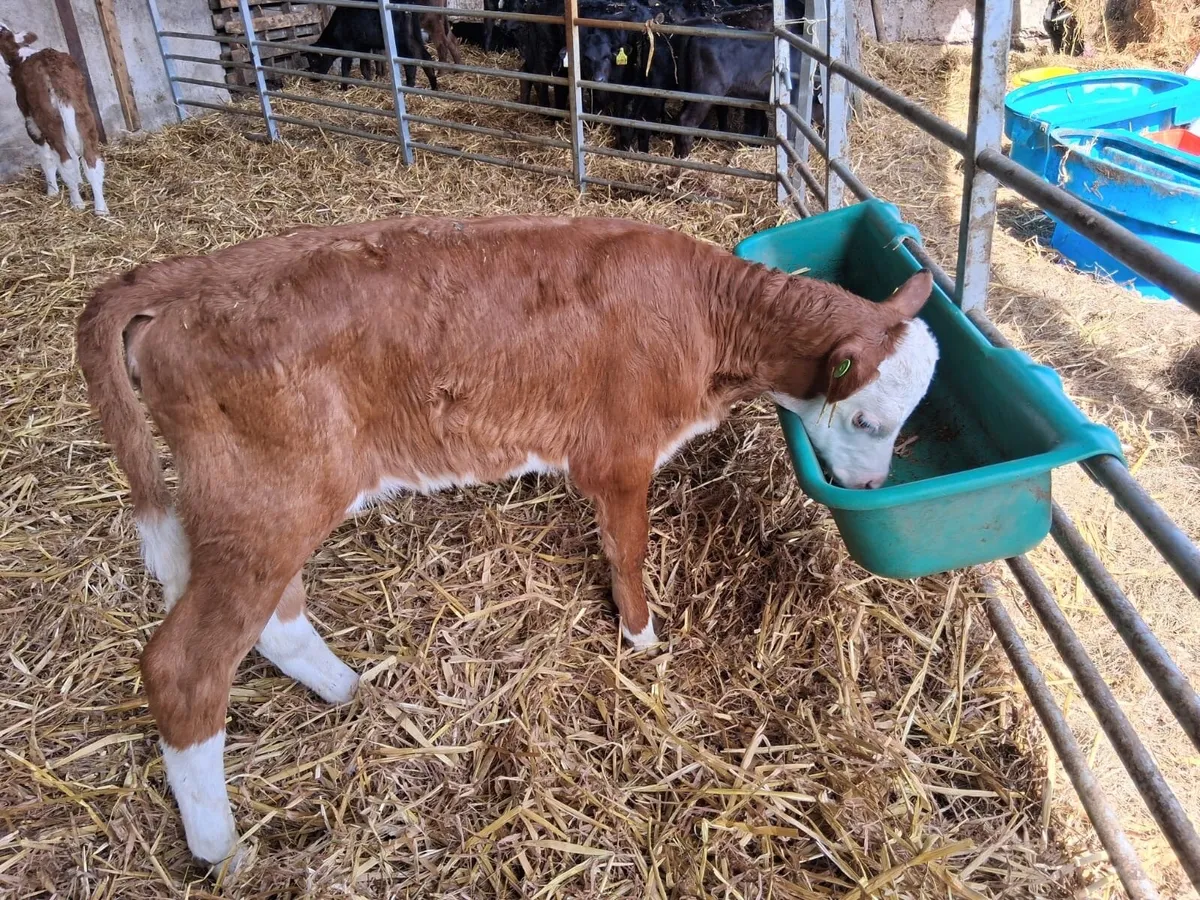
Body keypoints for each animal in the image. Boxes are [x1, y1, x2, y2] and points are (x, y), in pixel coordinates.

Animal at [0, 24, 107, 215]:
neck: (19, 57)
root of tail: (50, 65)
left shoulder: (31, 123)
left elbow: (47, 158)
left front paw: (52, 192)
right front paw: (79, 182)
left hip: (48, 118)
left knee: (66, 161)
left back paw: (77, 203)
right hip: (83, 114)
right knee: (91, 160)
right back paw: (101, 210)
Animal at [76, 215, 938, 869]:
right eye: (867, 418)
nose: (868, 489)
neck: (705, 317)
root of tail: (192, 276)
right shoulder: (619, 456)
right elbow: (628, 555)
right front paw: (642, 641)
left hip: (273, 502)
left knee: (273, 625)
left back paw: (352, 692)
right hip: (268, 497)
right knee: (185, 666)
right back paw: (221, 851)